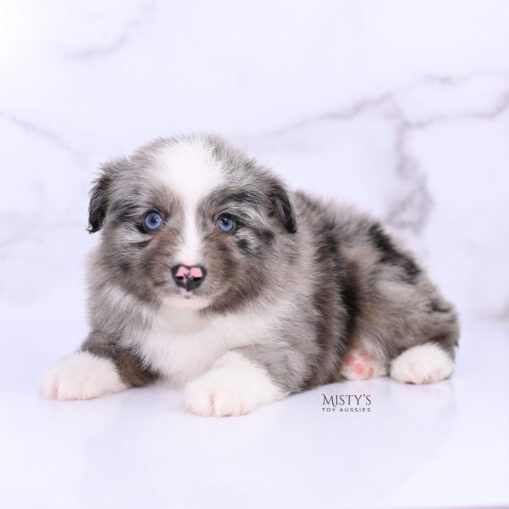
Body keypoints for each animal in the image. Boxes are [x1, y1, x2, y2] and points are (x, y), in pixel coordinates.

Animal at [39, 135, 458, 416]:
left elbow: (244, 357)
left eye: (226, 223)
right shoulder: (118, 324)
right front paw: (74, 371)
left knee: (439, 319)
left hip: (379, 276)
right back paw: (360, 362)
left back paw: (422, 360)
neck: (191, 319)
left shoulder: (285, 341)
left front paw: (219, 387)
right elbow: (104, 350)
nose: (188, 274)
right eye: (152, 220)